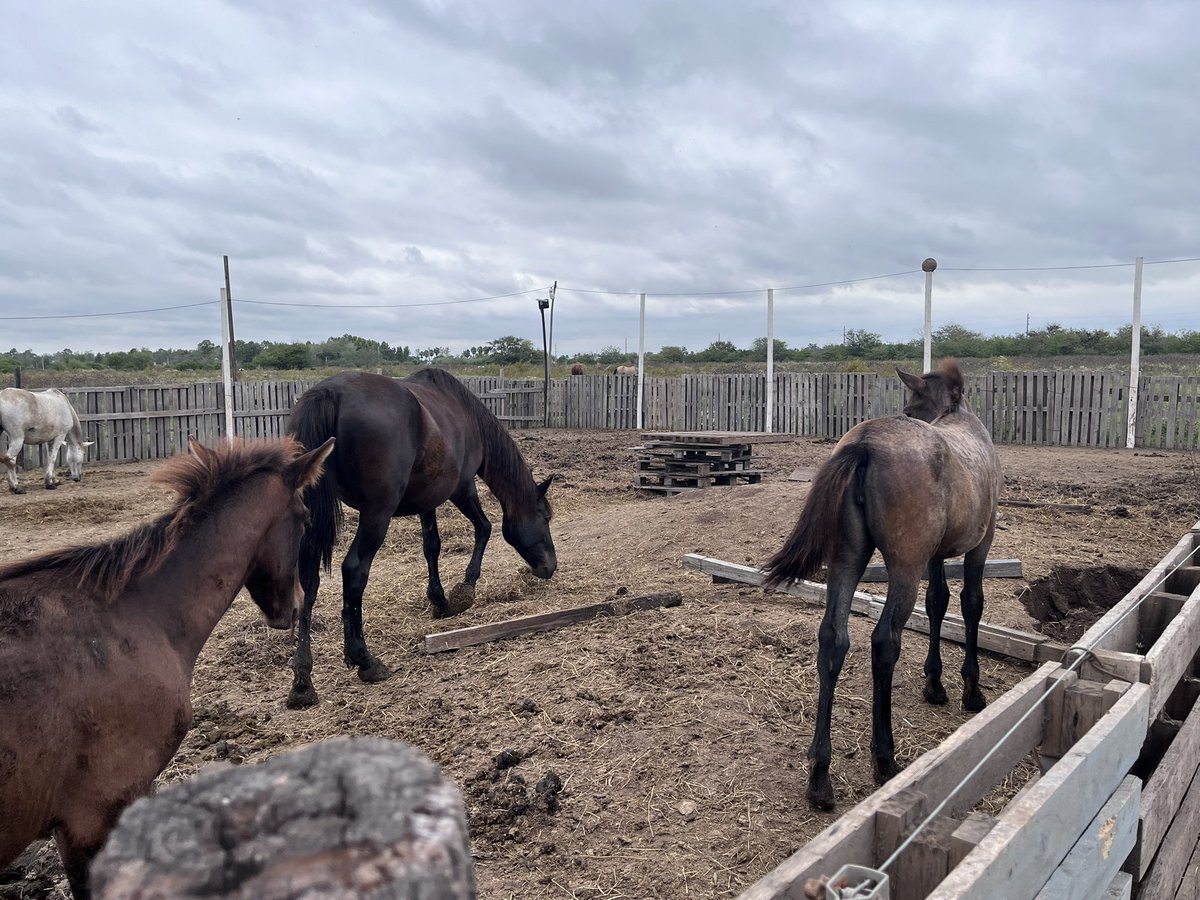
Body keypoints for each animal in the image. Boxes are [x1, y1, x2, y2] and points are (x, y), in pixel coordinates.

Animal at [285, 368, 557, 709]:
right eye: (545, 517)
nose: (551, 566)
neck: (466, 416)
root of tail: (331, 392)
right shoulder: (462, 488)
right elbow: (484, 528)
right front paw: (464, 590)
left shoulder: (428, 500)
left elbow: (432, 546)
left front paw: (439, 600)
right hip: (377, 513)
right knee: (355, 570)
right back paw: (364, 660)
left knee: (307, 581)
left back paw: (303, 681)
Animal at [762, 359, 1000, 811]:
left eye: (912, 406)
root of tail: (866, 444)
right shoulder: (981, 543)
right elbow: (971, 603)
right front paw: (970, 689)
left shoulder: (935, 557)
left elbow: (939, 603)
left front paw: (934, 684)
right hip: (903, 567)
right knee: (884, 640)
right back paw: (885, 758)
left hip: (848, 559)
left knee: (833, 638)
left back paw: (820, 776)